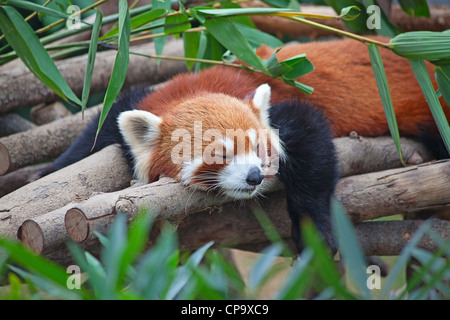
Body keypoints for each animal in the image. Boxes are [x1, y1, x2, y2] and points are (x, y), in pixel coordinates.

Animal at [40, 36, 448, 254]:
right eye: (220, 154)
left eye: (259, 151)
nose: (254, 177)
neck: (197, 90)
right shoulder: (148, 97)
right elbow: (96, 133)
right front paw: (51, 171)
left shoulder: (290, 109)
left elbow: (312, 148)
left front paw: (315, 228)